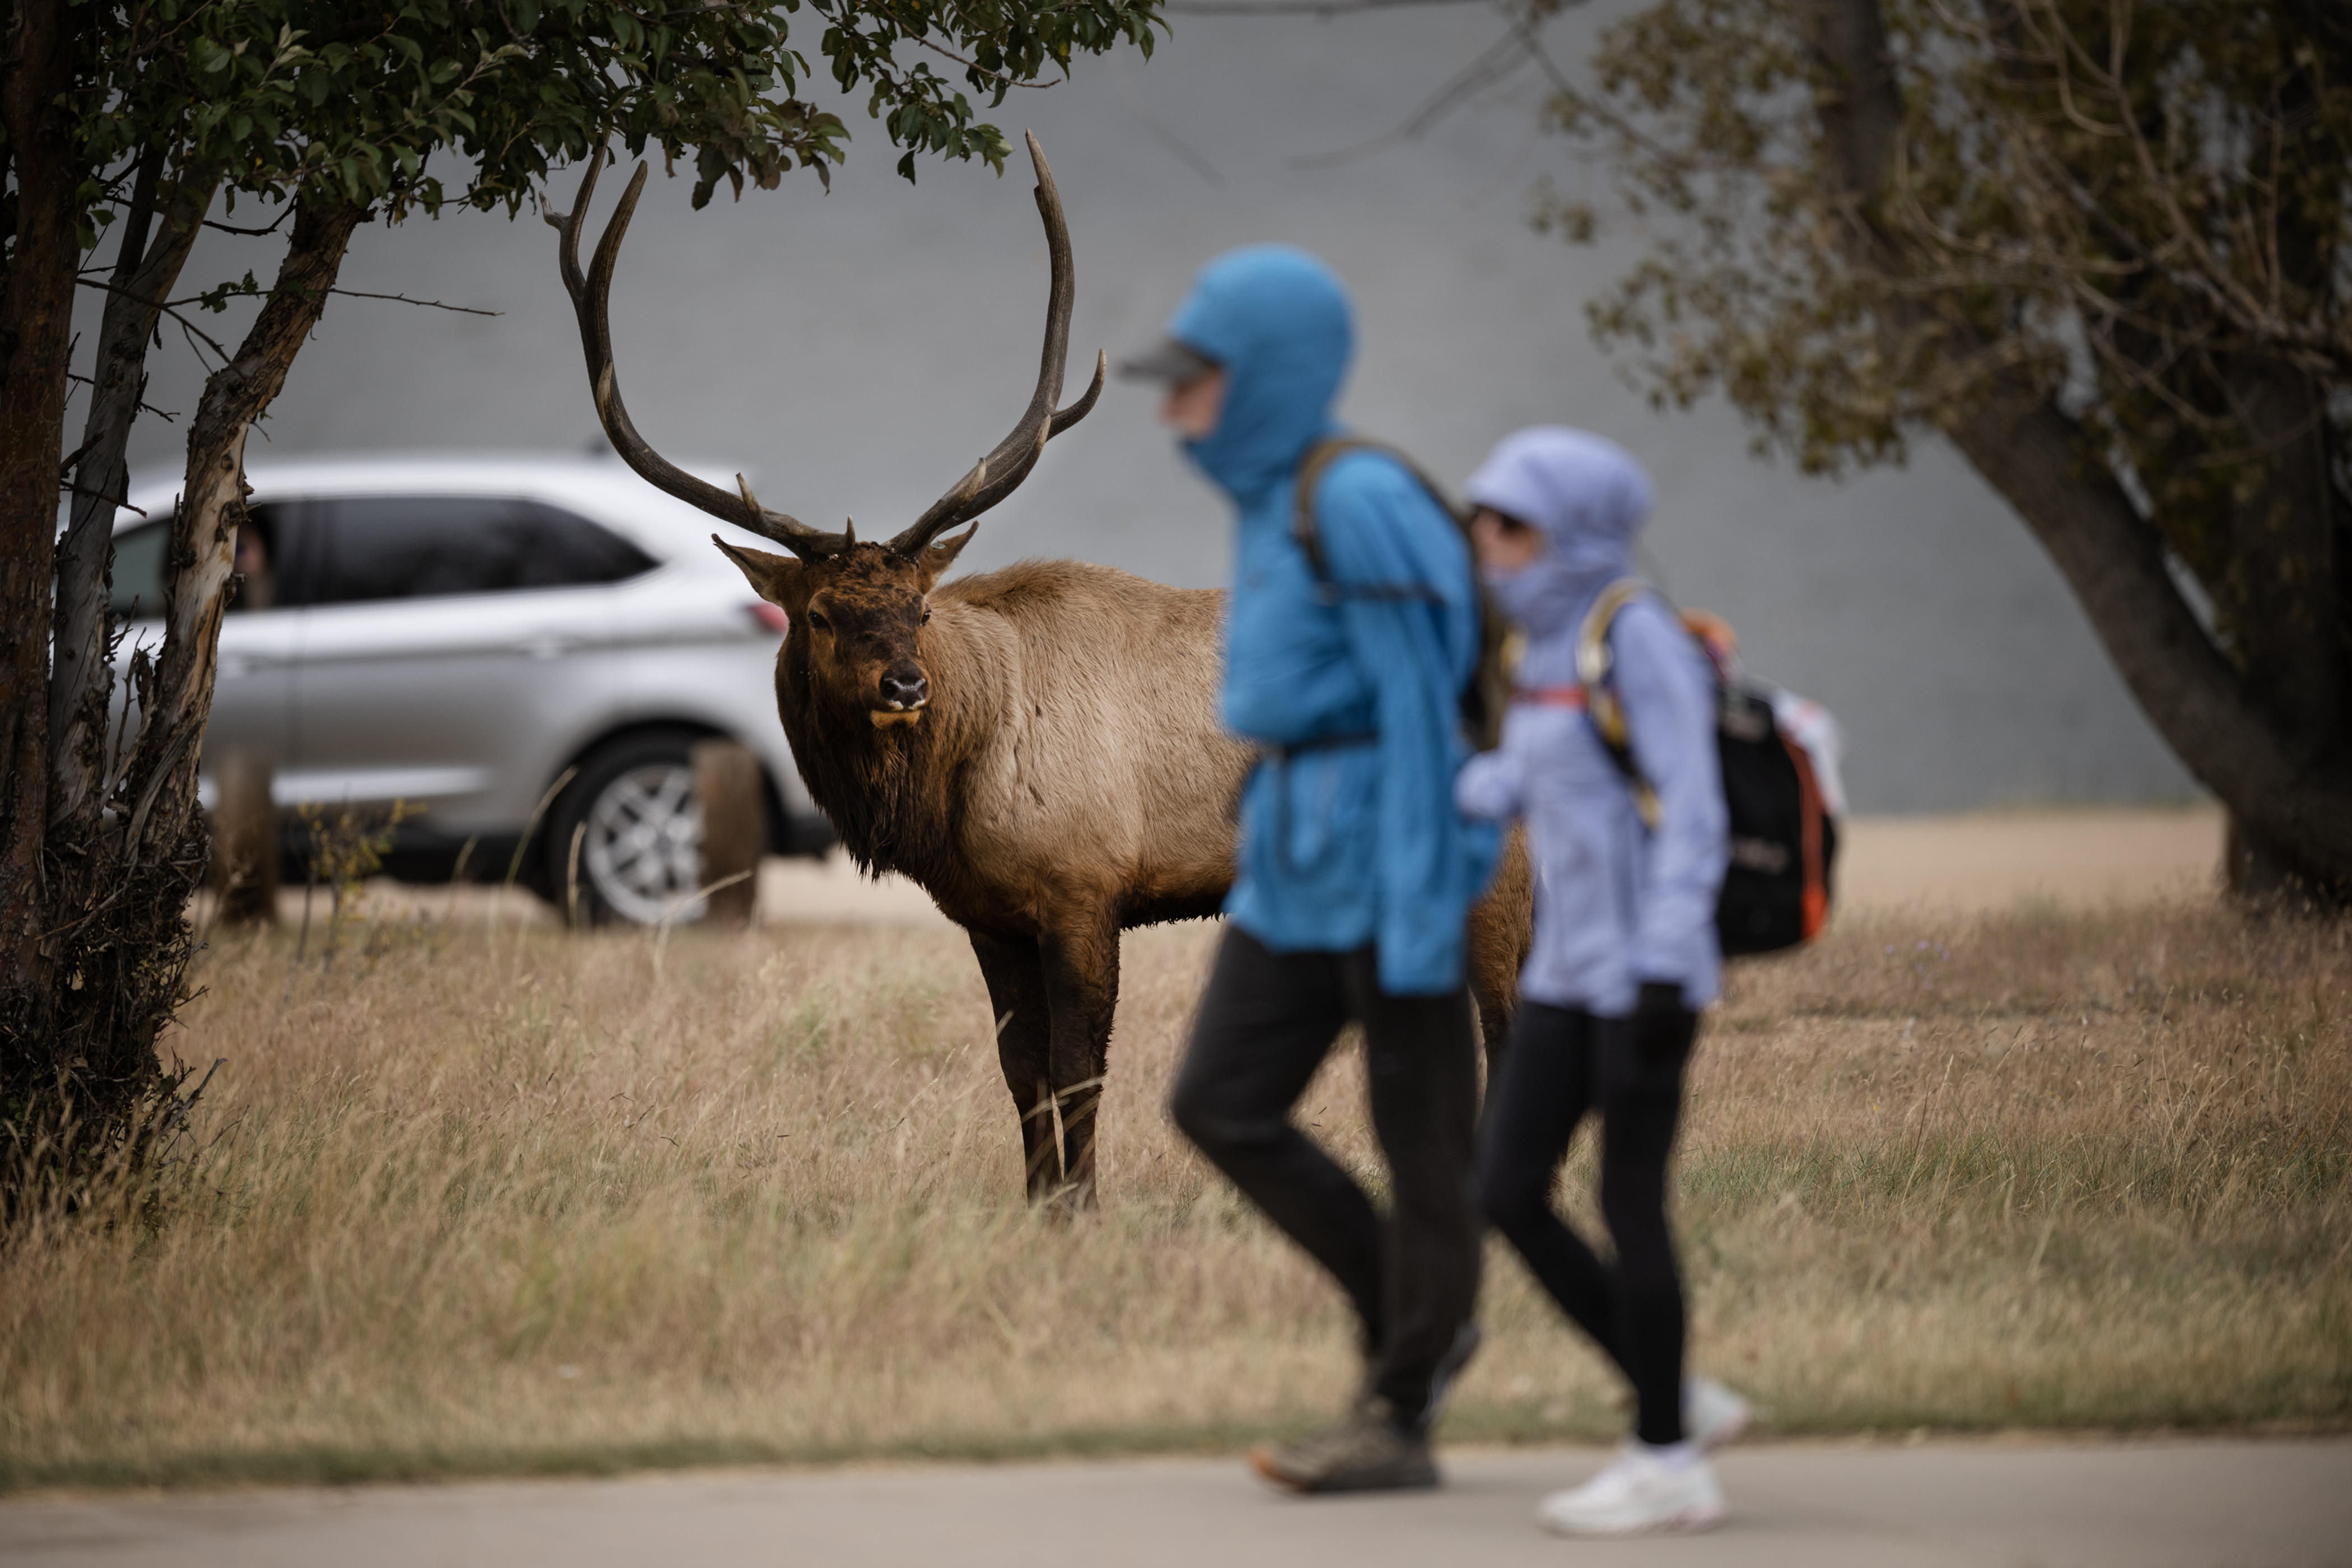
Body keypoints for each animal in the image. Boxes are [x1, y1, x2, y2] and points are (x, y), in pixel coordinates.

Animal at [548, 134, 1531, 1203]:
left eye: (919, 607)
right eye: (819, 613)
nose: (906, 686)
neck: (950, 797)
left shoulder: (1085, 887)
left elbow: (1078, 1071)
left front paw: (1081, 1208)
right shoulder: (989, 919)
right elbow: (1020, 1074)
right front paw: (1038, 1206)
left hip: (1503, 860)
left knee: (1509, 1024)